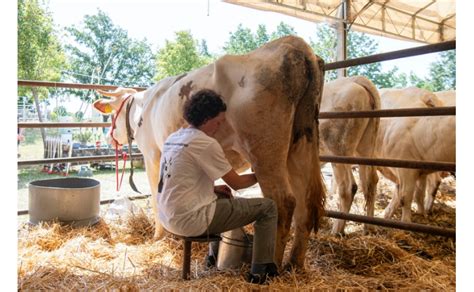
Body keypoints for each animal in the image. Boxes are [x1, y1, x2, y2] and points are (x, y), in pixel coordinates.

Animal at [94, 36, 328, 270]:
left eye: (112, 114)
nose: (109, 137)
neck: (142, 107)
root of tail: (293, 45)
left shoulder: (152, 154)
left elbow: (155, 197)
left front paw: (159, 237)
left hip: (264, 147)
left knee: (283, 202)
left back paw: (273, 266)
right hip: (301, 141)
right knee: (305, 204)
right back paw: (294, 264)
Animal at [318, 76, 382, 234]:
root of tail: (356, 80)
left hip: (338, 150)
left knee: (348, 187)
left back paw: (336, 231)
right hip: (365, 148)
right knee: (371, 182)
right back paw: (369, 227)